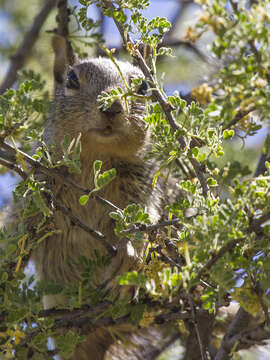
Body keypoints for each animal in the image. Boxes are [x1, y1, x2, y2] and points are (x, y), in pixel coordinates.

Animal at [31, 38, 169, 358]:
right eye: (71, 79)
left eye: (144, 86)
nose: (113, 105)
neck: (96, 159)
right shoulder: (40, 185)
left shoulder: (143, 185)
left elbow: (147, 218)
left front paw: (129, 256)